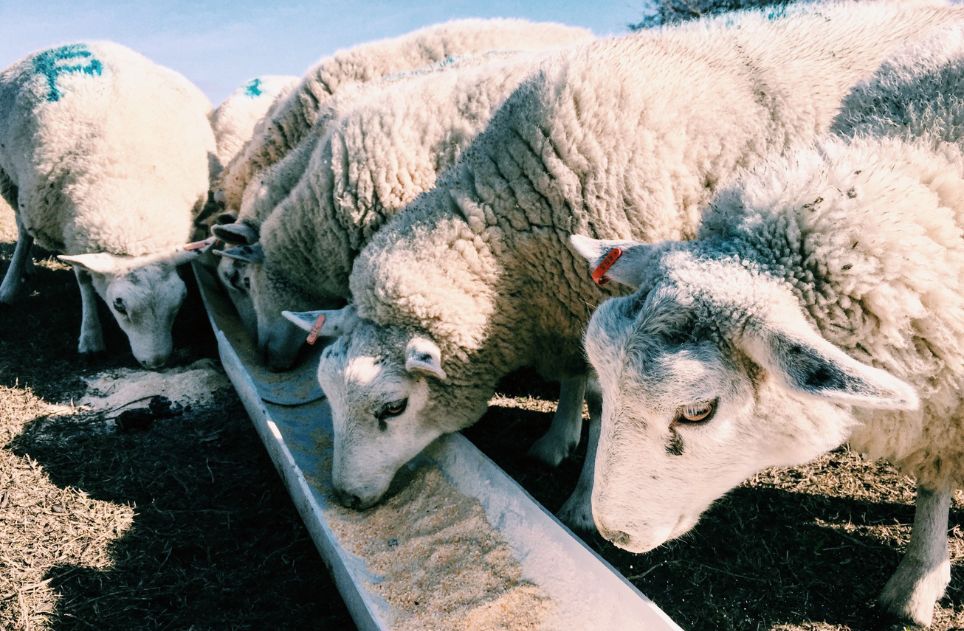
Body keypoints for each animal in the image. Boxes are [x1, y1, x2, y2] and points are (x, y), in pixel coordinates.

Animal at [0, 41, 217, 368]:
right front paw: (91, 338)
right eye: (119, 305)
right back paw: (12, 283)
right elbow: (84, 281)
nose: (156, 363)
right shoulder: (67, 229)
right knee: (23, 231)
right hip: (11, 181)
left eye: (181, 300)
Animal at [278, 0, 962, 532]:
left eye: (392, 408)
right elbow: (575, 377)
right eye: (327, 395)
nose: (346, 498)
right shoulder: (563, 304)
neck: (511, 228)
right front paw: (557, 439)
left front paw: (582, 503)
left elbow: (607, 406)